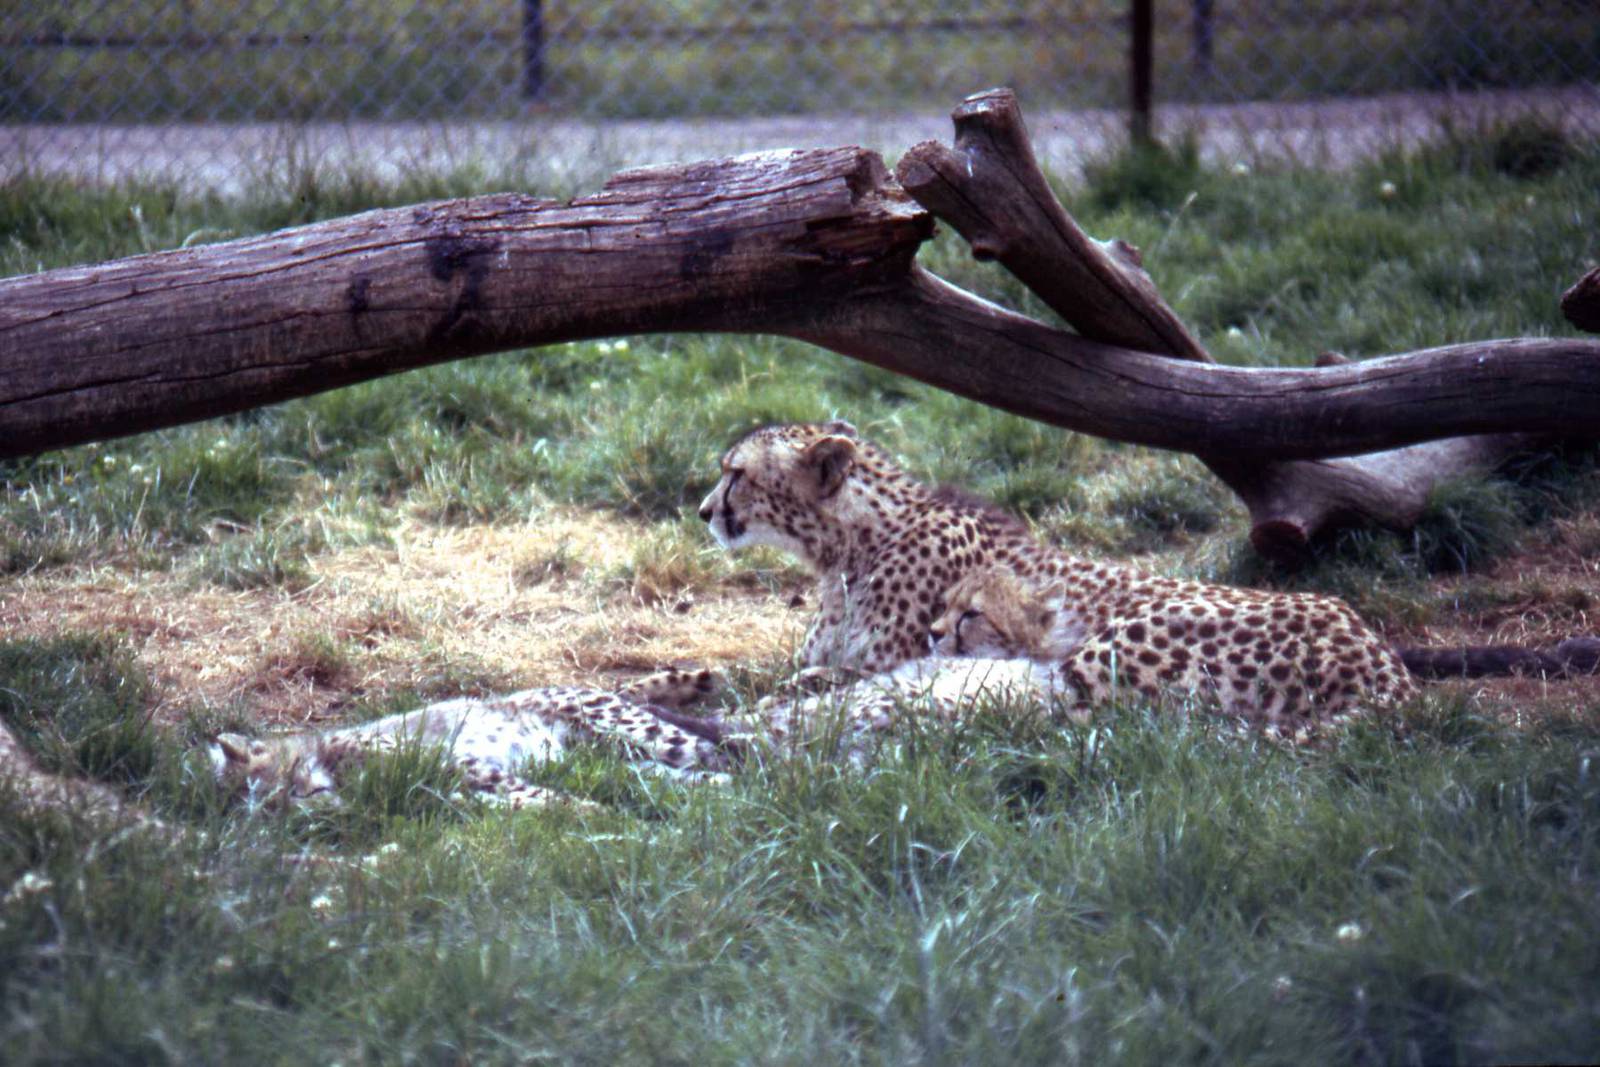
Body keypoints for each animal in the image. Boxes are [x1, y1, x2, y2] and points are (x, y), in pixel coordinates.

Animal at [210, 669, 730, 810]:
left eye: (286, 781)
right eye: (273, 807)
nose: (306, 797)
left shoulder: (459, 764)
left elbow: (532, 794)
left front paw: (589, 812)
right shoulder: (452, 792)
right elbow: (520, 801)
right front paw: (585, 811)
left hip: (625, 726)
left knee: (719, 753)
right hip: (614, 757)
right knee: (675, 774)